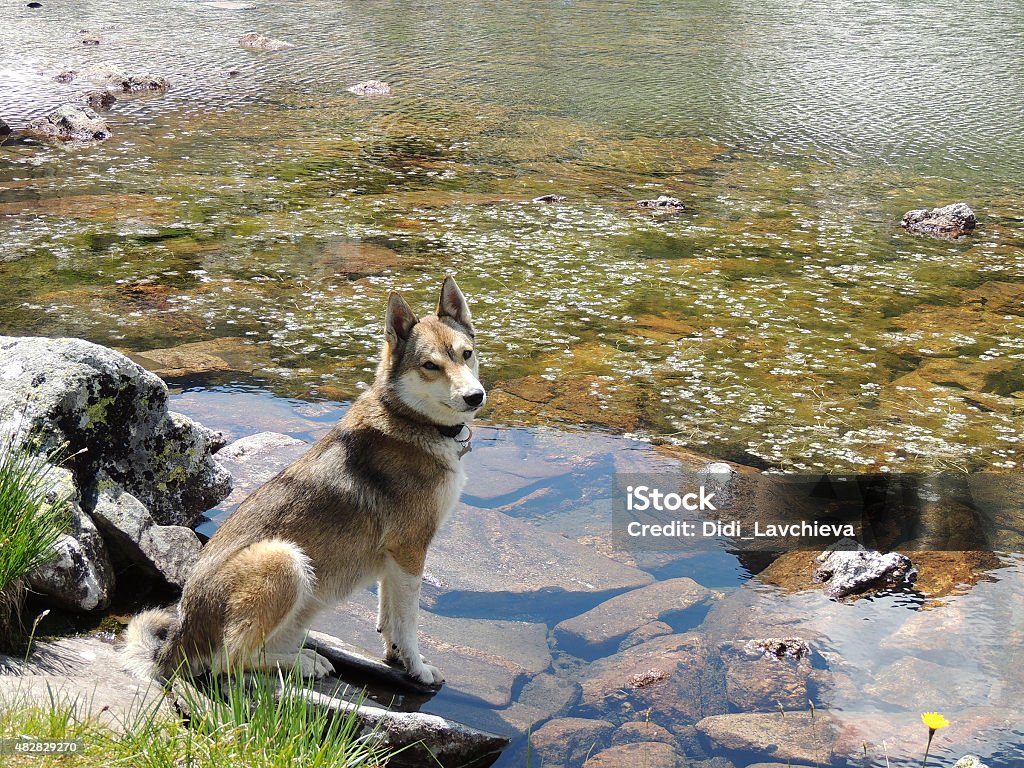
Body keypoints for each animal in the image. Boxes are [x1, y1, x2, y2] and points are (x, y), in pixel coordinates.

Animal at [119, 274, 487, 684]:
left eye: (466, 354)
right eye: (429, 366)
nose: (475, 397)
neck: (411, 420)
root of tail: (175, 644)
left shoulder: (393, 558)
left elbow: (388, 615)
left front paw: (396, 657)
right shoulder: (410, 550)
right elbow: (408, 622)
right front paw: (418, 667)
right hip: (285, 560)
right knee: (229, 660)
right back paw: (303, 663)